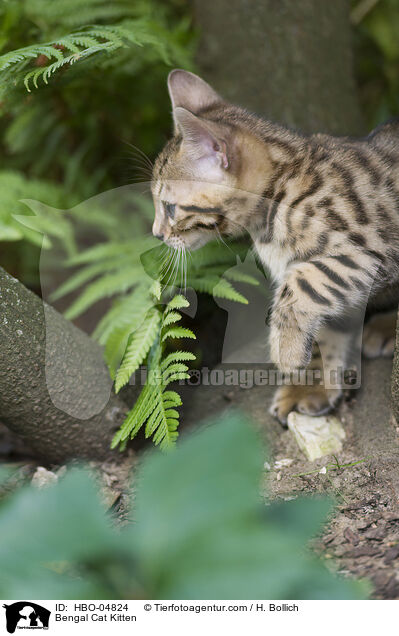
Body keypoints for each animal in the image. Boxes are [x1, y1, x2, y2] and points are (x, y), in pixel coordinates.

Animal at [151, 69, 399, 422]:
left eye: (170, 208)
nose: (156, 233)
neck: (281, 190)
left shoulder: (371, 248)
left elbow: (305, 281)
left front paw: (287, 351)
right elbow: (327, 328)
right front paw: (311, 384)